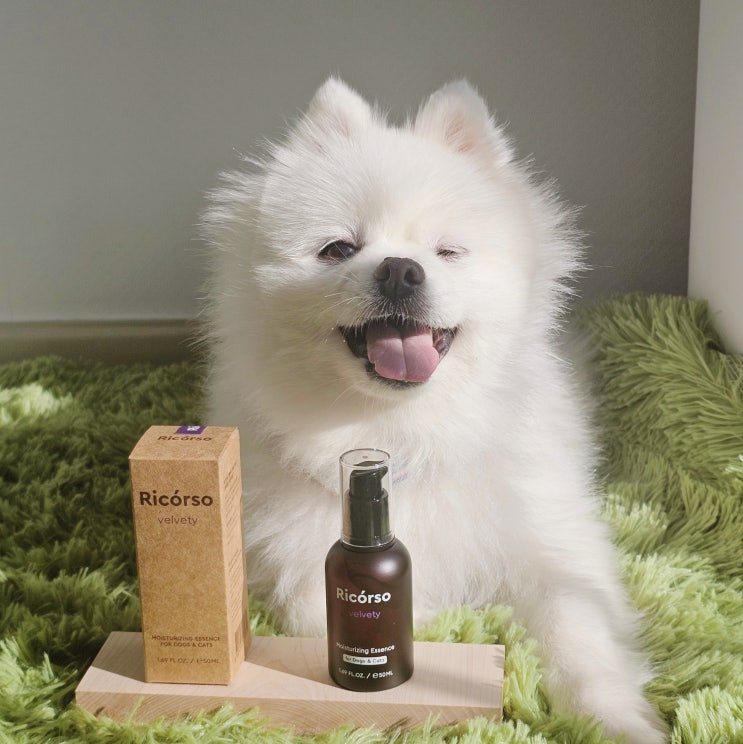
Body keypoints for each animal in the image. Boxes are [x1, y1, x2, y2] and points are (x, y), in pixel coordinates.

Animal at [201, 78, 667, 742]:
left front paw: (615, 720)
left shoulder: (551, 545)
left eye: (447, 251)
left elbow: (580, 633)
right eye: (337, 249)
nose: (400, 269)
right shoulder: (298, 556)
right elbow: (322, 614)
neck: (403, 430)